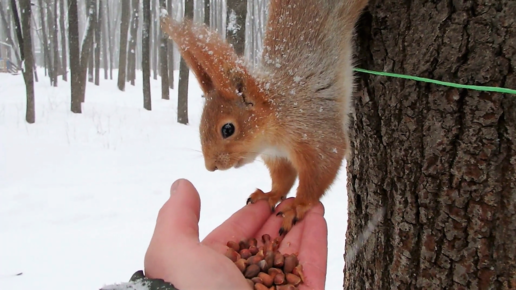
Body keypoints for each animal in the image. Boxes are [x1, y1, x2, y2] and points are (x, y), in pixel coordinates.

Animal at [160, 0, 366, 236]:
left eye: (228, 129)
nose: (210, 167)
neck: (272, 137)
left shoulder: (314, 128)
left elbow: (320, 170)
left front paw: (298, 206)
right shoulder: (277, 156)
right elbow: (283, 179)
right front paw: (270, 194)